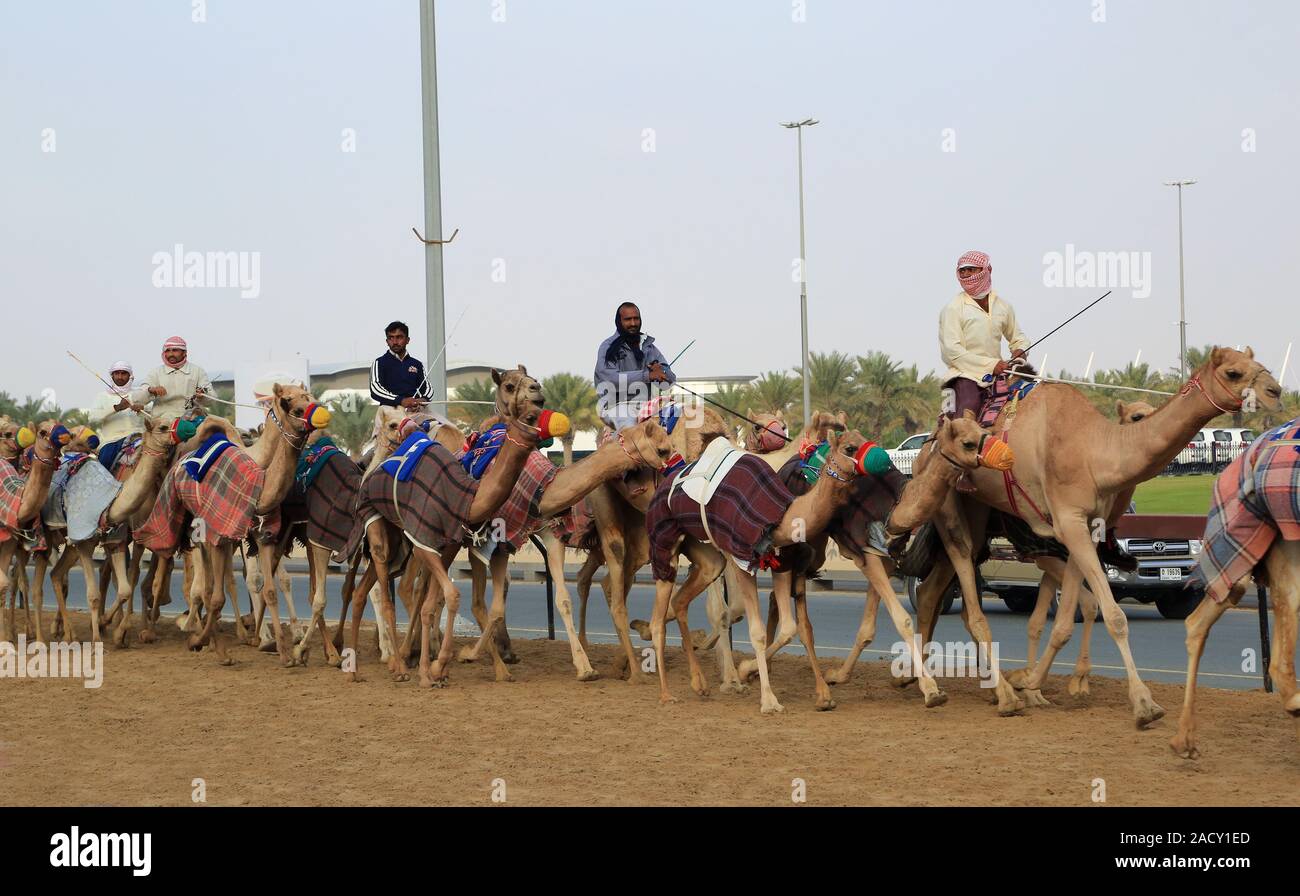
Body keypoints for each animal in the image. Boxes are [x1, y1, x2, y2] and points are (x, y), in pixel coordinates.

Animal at [909, 348, 1284, 728]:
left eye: (1260, 365)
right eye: (1234, 372)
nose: (1275, 391)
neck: (1093, 453)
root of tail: (927, 448)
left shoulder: (1084, 527)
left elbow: (1068, 619)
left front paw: (1034, 684)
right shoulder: (1068, 521)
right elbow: (1113, 616)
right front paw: (1144, 704)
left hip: (980, 519)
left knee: (930, 591)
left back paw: (922, 680)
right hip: (950, 507)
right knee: (967, 596)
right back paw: (991, 694)